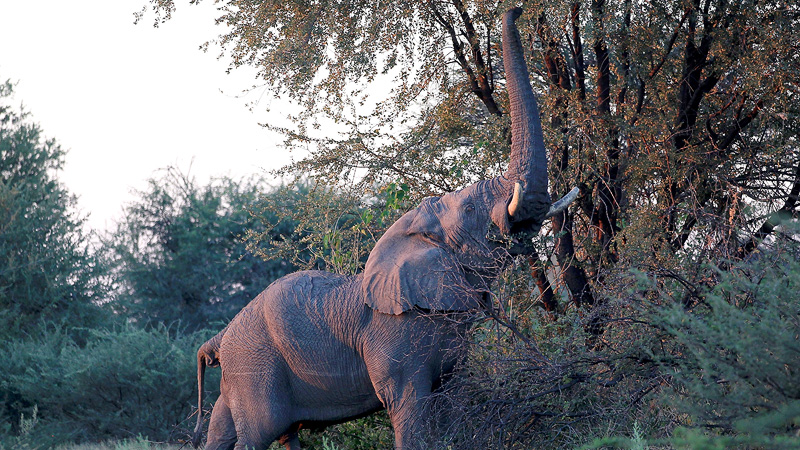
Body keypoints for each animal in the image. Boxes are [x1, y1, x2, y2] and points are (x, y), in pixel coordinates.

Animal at [191, 8, 578, 450]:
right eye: (471, 208)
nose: (516, 10)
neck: (413, 235)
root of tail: (220, 339)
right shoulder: (393, 336)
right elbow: (408, 406)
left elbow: (453, 400)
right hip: (254, 366)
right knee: (258, 432)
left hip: (244, 372)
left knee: (235, 431)